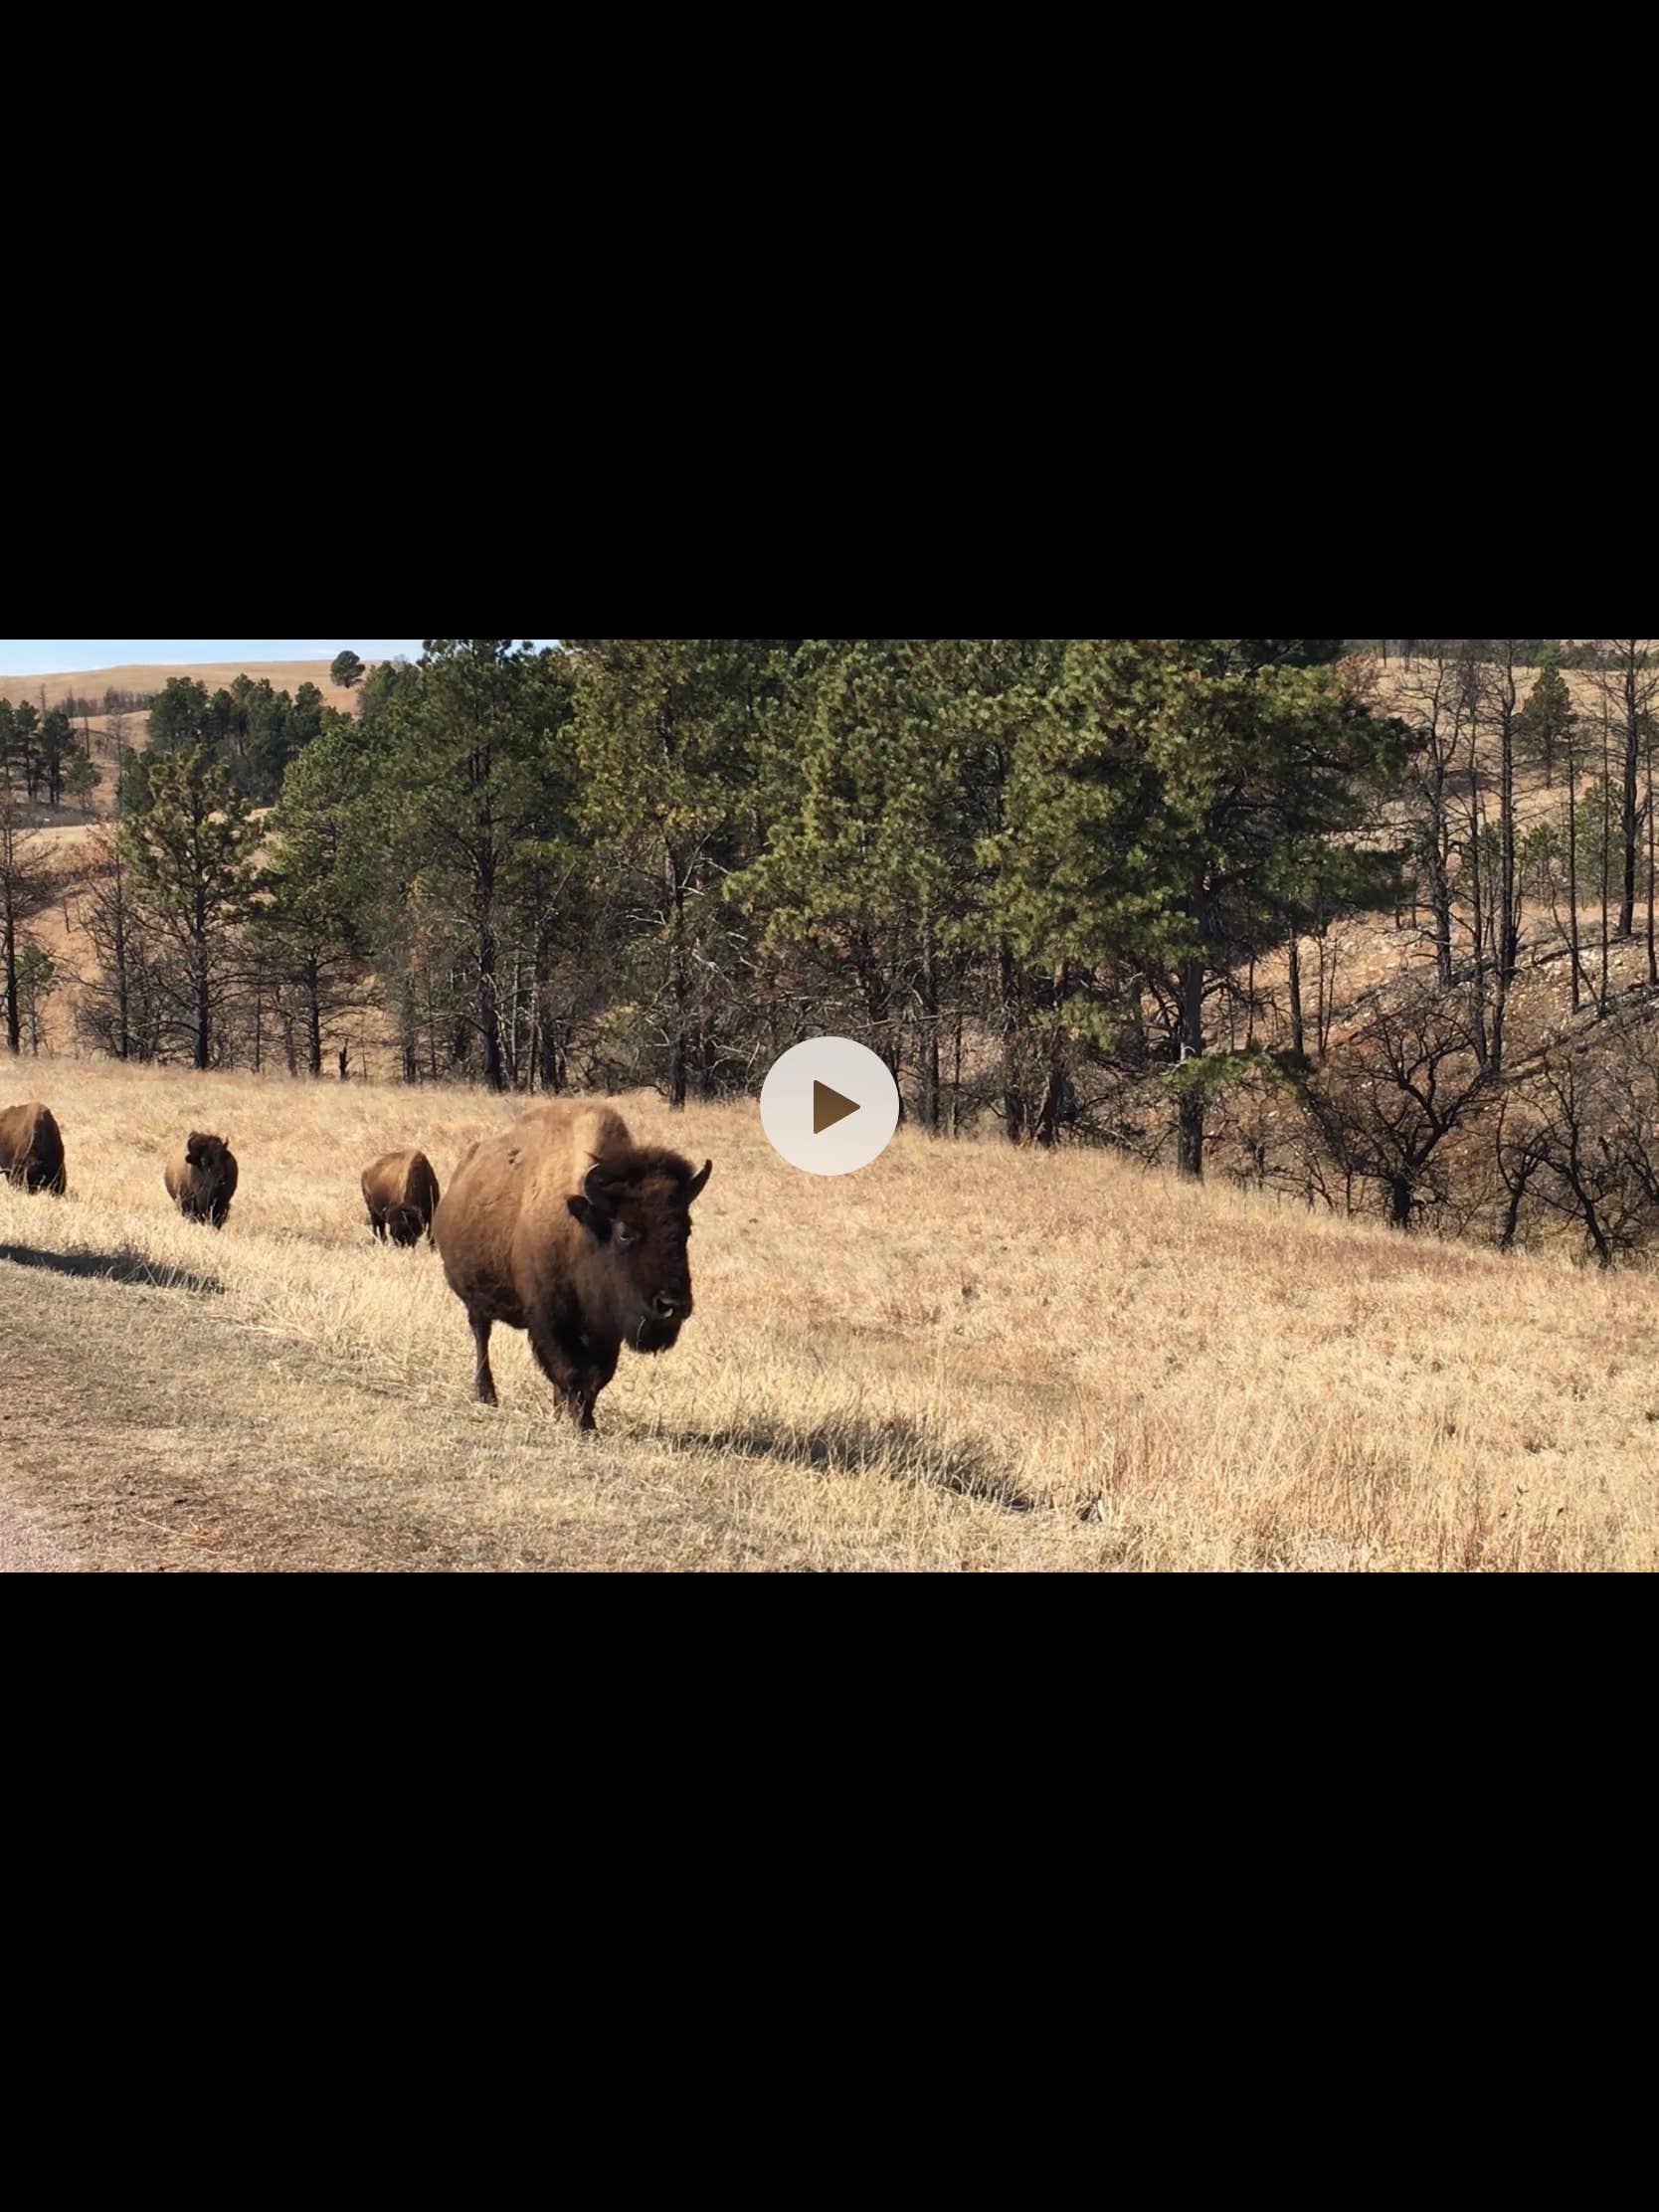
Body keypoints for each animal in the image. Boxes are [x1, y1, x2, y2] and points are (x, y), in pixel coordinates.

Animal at [431, 1092, 712, 1433]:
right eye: (625, 1232)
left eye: (687, 1229)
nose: (672, 1305)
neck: (582, 1229)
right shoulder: (548, 1319)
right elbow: (570, 1371)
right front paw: (579, 1423)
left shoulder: (605, 1328)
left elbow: (598, 1376)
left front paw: (581, 1419)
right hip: (476, 1301)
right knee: (481, 1336)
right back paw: (487, 1395)